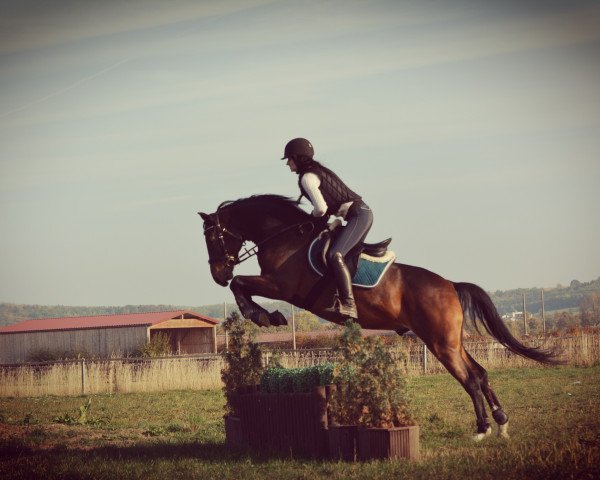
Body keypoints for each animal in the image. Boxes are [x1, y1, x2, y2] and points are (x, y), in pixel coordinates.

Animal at [199, 194, 560, 438]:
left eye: (212, 236)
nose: (216, 274)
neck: (284, 236)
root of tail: (450, 285)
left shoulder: (283, 286)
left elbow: (241, 283)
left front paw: (262, 315)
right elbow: (240, 284)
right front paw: (263, 314)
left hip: (440, 343)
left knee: (469, 378)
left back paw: (482, 428)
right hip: (451, 341)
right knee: (481, 373)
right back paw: (501, 422)